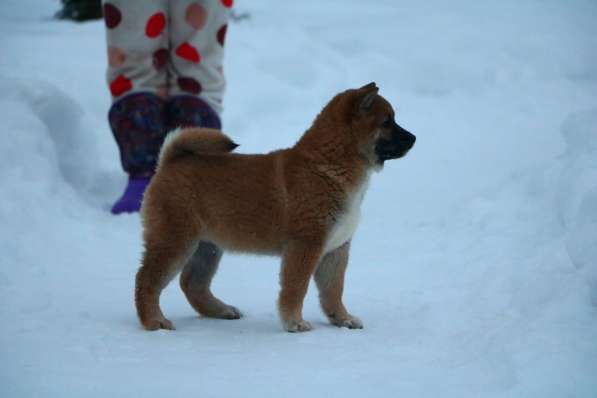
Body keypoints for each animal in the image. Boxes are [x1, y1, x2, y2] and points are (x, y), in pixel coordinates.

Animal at [134, 82, 414, 332]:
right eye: (387, 122)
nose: (413, 138)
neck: (328, 166)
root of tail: (169, 161)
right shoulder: (305, 245)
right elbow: (296, 288)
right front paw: (294, 322)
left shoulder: (336, 249)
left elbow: (333, 290)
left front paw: (342, 319)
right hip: (175, 241)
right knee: (146, 280)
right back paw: (154, 321)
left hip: (207, 247)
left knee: (192, 283)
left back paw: (220, 310)